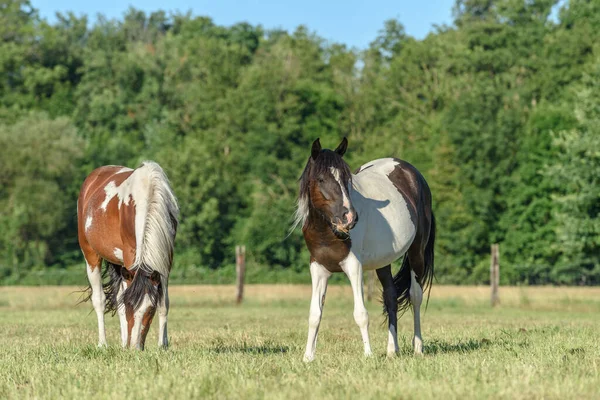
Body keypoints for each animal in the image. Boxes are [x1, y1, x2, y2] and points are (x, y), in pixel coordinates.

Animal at [76, 161, 178, 348]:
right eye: (131, 306)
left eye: (150, 310)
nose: (135, 347)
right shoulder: (131, 255)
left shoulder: (165, 259)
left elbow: (164, 302)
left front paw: (163, 345)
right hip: (91, 255)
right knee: (99, 299)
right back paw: (103, 344)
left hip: (118, 263)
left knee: (117, 297)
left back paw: (124, 342)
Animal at [292, 138, 434, 362]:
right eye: (321, 179)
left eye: (346, 179)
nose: (349, 217)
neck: (327, 231)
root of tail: (413, 174)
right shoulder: (318, 268)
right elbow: (315, 314)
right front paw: (308, 357)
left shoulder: (353, 266)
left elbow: (361, 314)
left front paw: (368, 355)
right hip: (383, 261)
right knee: (391, 297)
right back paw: (392, 350)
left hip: (416, 253)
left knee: (415, 296)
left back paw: (418, 347)